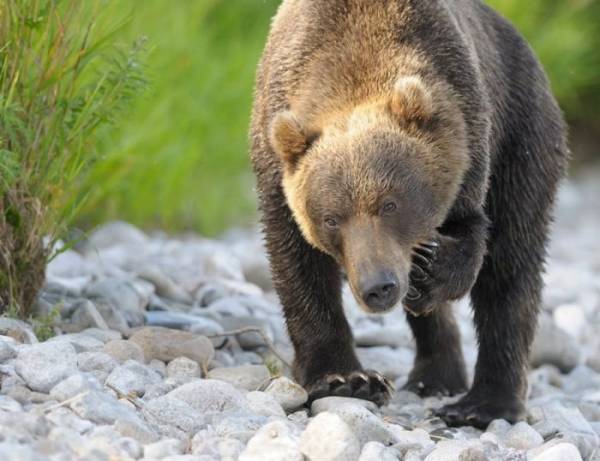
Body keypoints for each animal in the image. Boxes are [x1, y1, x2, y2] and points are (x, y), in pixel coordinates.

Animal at [248, 0, 568, 428]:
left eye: (390, 204)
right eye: (331, 218)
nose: (378, 286)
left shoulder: (468, 137)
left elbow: (475, 241)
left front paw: (433, 269)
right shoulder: (276, 167)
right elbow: (298, 266)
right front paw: (347, 379)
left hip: (524, 131)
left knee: (512, 264)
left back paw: (482, 404)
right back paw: (435, 375)